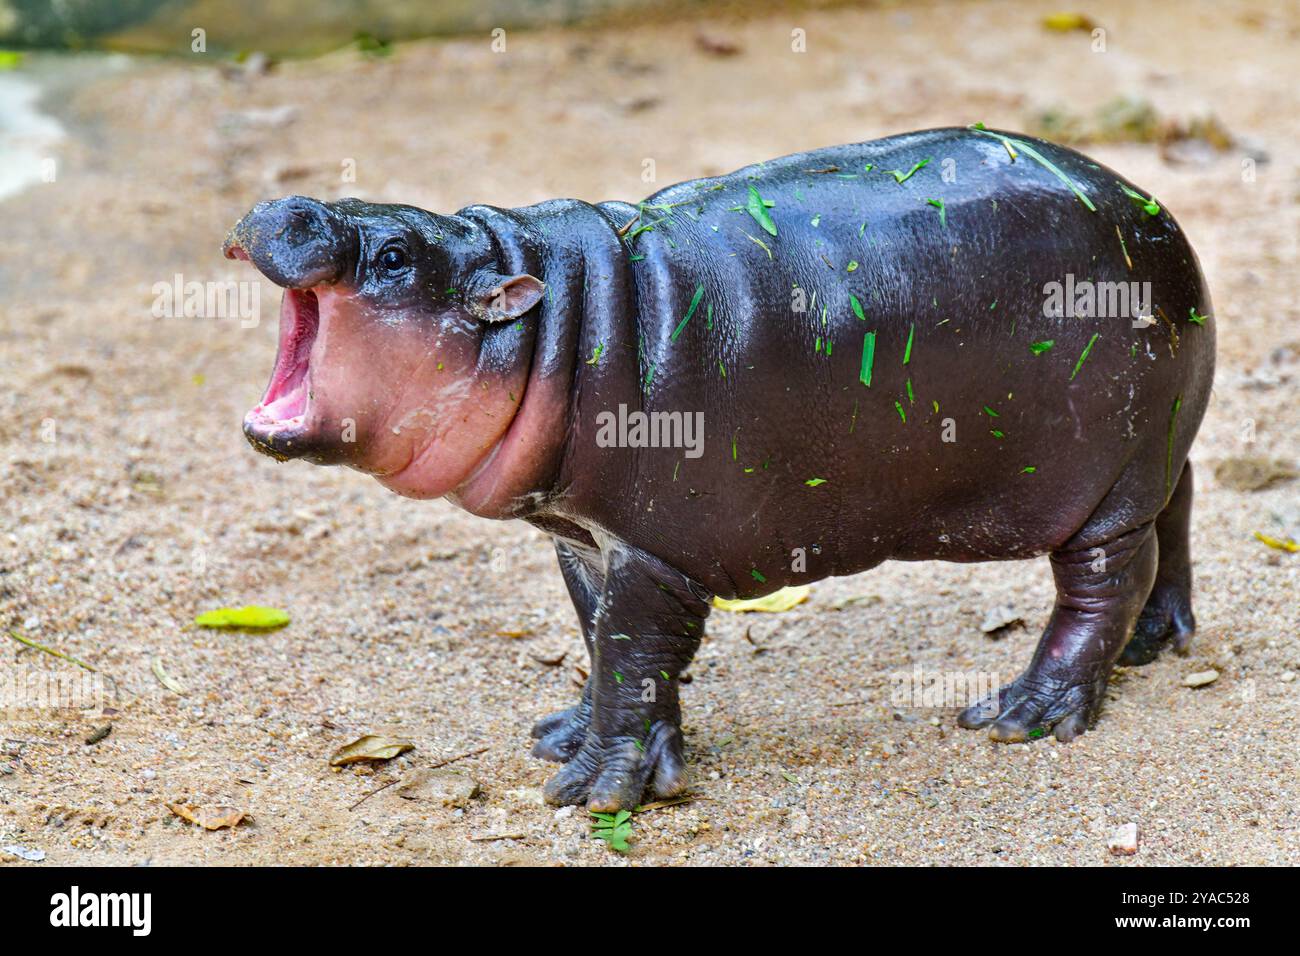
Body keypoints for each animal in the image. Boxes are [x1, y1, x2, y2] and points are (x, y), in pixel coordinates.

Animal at [226, 127, 1216, 811]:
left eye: (397, 255)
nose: (288, 205)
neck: (553, 318)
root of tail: (1156, 211)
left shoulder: (657, 549)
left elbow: (630, 652)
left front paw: (595, 791)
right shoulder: (588, 539)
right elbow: (607, 643)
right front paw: (567, 737)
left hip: (1105, 480)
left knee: (1104, 582)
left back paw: (1023, 714)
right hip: (1157, 449)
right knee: (1177, 517)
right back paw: (1156, 642)